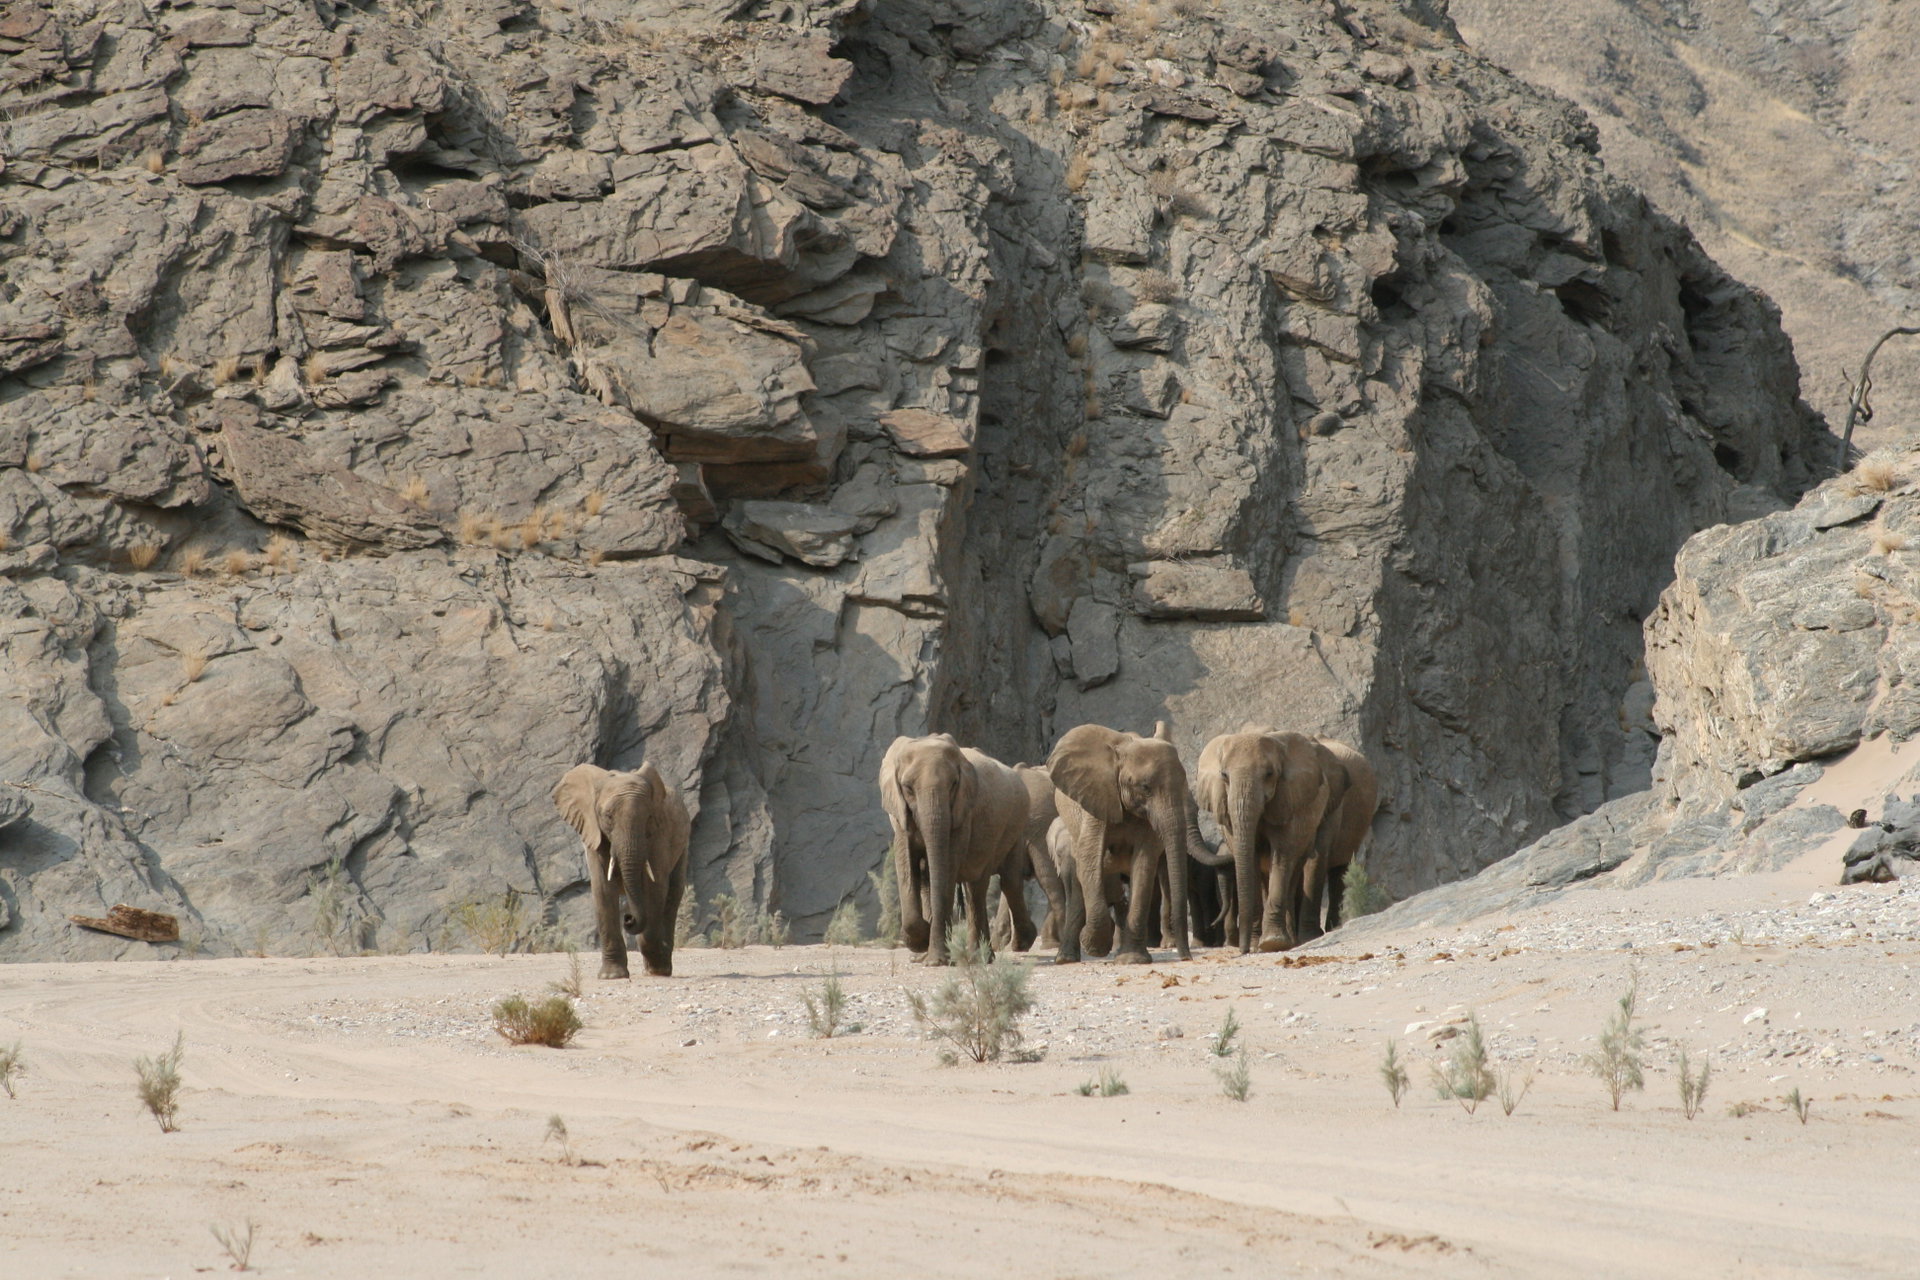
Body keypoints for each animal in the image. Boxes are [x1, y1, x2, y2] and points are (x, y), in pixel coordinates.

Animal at [551, 762, 690, 979]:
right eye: (608, 816)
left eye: (649, 817)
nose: (628, 919)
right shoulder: (593, 832)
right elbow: (603, 890)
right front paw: (612, 976)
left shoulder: (660, 833)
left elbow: (655, 887)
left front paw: (655, 966)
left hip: (683, 843)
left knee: (672, 895)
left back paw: (660, 968)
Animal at [880, 734, 1037, 965]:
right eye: (907, 788)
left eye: (954, 784)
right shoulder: (899, 815)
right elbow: (908, 868)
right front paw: (923, 946)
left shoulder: (962, 815)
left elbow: (947, 869)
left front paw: (936, 960)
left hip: (1012, 826)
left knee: (997, 883)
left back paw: (992, 953)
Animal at [1046, 722, 1228, 964]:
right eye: (1144, 787)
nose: (1186, 958)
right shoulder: (1098, 797)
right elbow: (1091, 857)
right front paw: (1097, 946)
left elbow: (1144, 865)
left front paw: (1132, 959)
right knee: (1079, 878)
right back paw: (1066, 959)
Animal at [1194, 728, 1331, 954]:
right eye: (1224, 775)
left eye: (1269, 774)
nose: (1242, 951)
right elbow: (1251, 861)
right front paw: (1255, 944)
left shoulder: (1287, 801)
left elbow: (1282, 855)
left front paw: (1273, 943)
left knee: (1293, 870)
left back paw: (1290, 940)